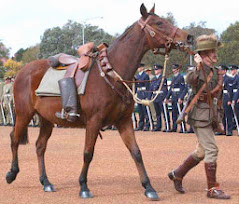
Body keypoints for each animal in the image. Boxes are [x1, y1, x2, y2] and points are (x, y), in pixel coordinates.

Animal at [5, 3, 193, 201]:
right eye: (159, 23)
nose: (188, 37)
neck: (111, 74)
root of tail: (23, 71)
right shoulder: (94, 122)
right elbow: (88, 153)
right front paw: (83, 186)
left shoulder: (124, 121)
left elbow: (136, 152)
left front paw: (148, 187)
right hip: (23, 114)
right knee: (14, 139)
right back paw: (12, 173)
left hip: (46, 119)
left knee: (40, 146)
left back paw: (46, 182)